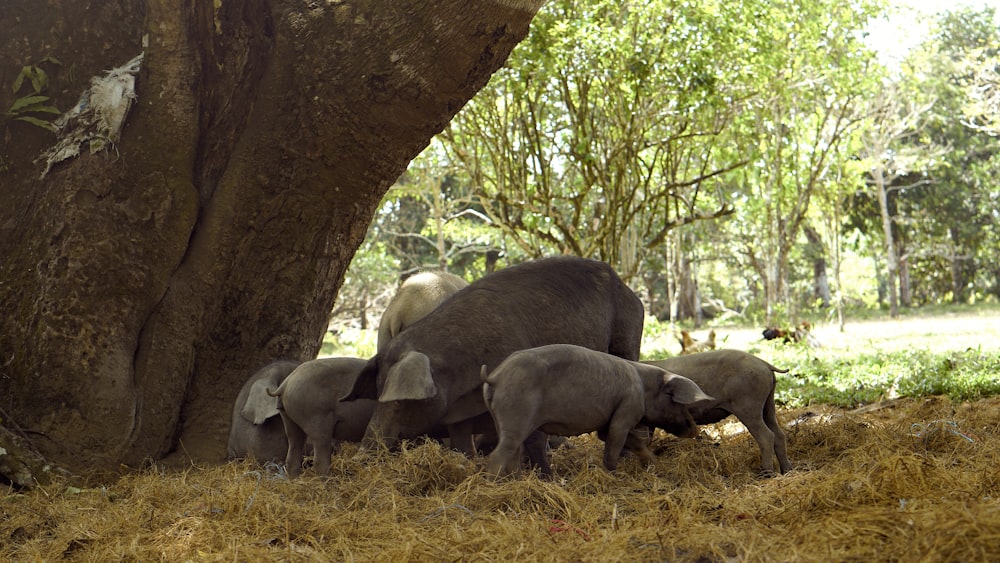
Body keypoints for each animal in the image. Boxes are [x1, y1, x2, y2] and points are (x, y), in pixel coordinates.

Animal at [482, 344, 712, 476]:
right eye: (677, 402)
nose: (695, 430)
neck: (643, 386)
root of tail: (496, 376)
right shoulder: (626, 411)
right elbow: (614, 444)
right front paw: (613, 474)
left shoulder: (607, 422)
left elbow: (631, 442)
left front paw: (653, 463)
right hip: (517, 413)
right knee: (498, 454)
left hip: (498, 416)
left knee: (513, 452)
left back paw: (516, 480)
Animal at [644, 352, 792, 476]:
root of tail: (764, 364)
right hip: (768, 403)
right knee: (779, 434)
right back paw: (787, 470)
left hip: (748, 406)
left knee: (766, 436)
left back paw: (766, 474)